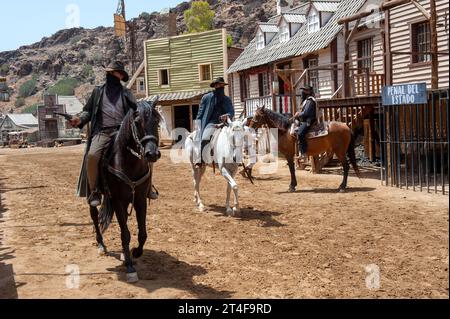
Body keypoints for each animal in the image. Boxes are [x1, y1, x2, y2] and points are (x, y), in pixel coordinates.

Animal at [89, 99, 162, 284]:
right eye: (137, 122)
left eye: (157, 121)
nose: (152, 154)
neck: (128, 162)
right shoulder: (118, 201)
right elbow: (125, 234)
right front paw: (130, 267)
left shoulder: (140, 200)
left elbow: (142, 233)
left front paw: (135, 252)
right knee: (94, 216)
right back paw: (101, 245)